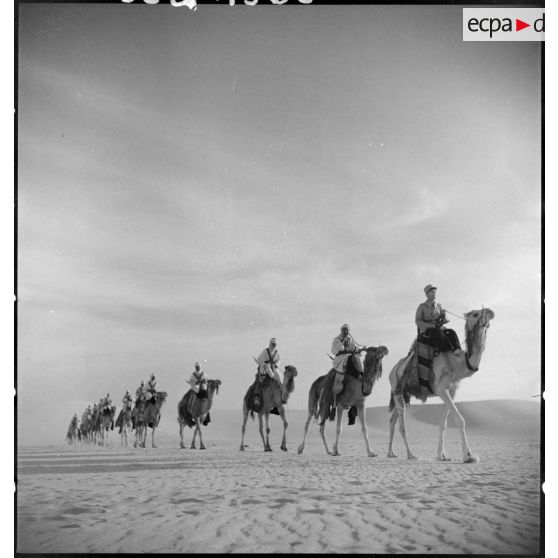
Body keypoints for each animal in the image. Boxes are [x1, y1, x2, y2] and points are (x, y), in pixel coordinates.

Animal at [390, 306, 494, 464]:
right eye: (476, 314)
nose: (491, 312)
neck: (456, 363)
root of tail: (392, 370)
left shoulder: (452, 390)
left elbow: (443, 424)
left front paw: (442, 456)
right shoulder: (440, 389)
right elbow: (460, 419)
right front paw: (469, 456)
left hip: (404, 394)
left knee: (392, 421)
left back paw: (390, 453)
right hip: (397, 388)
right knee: (402, 425)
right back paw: (410, 454)